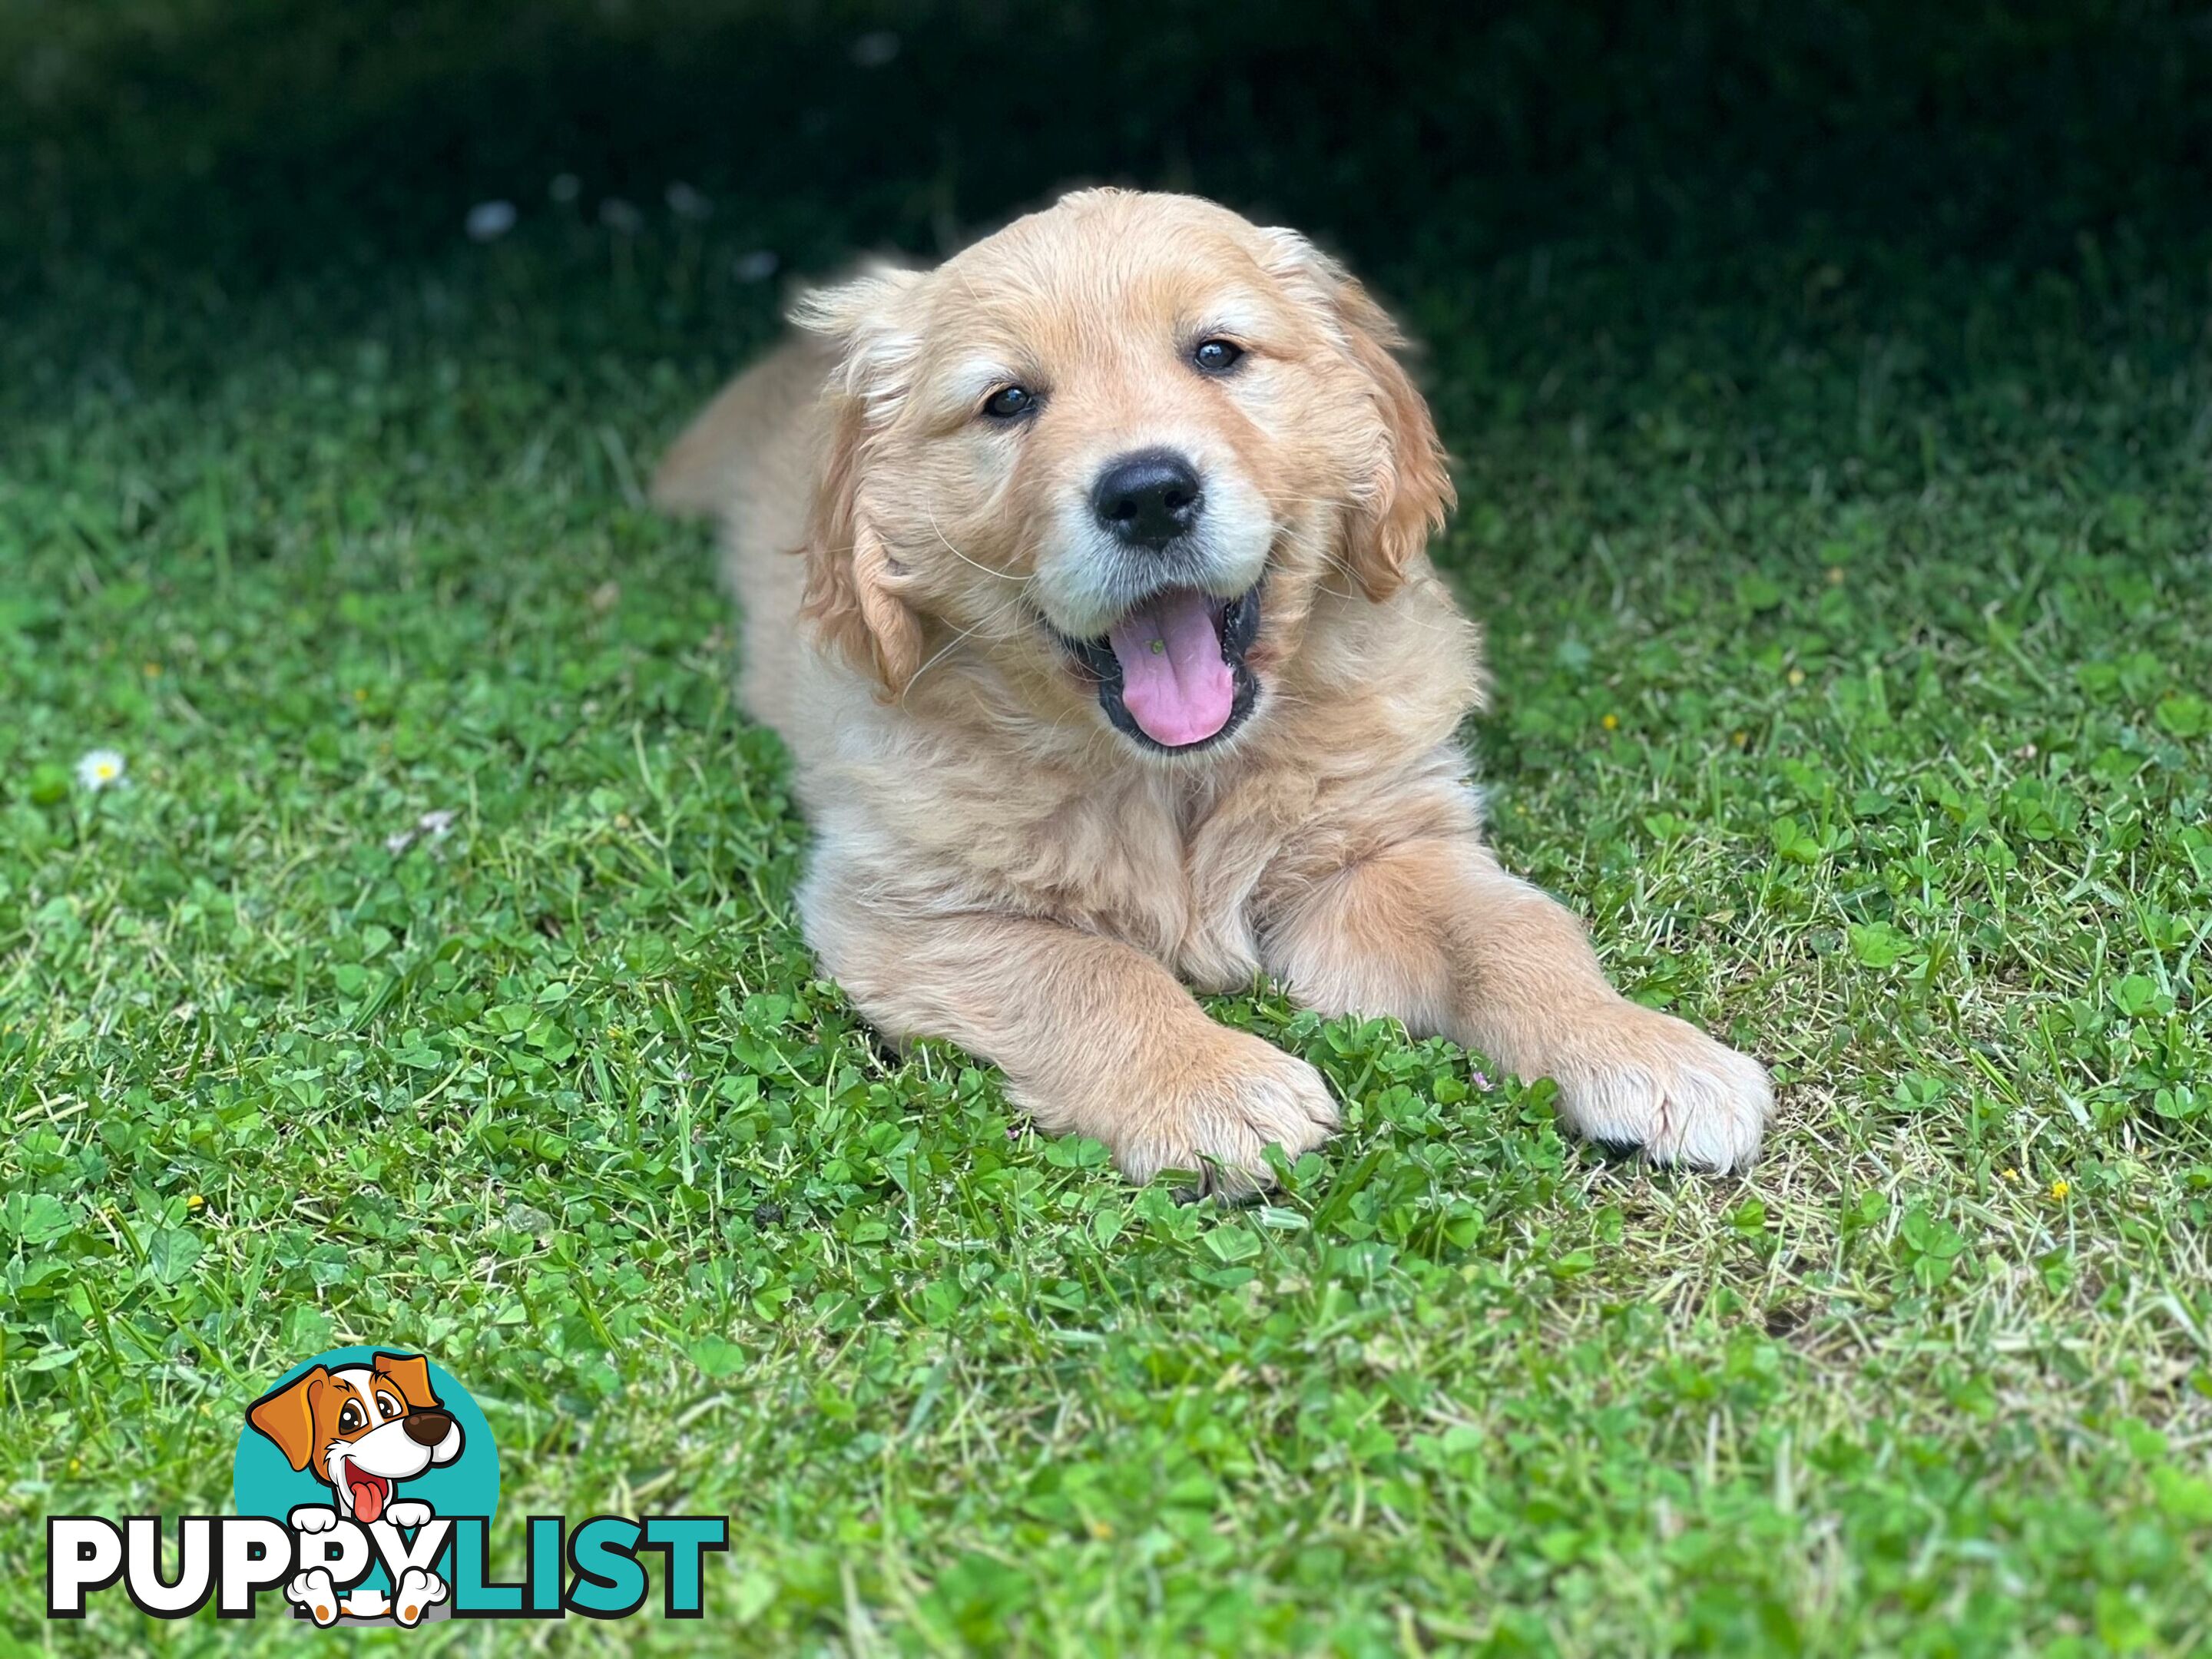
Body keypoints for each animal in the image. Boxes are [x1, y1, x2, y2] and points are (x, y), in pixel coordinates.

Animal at [645, 187, 1770, 1185]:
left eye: (1217, 353)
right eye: (1008, 401)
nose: (1148, 494)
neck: (1179, 777)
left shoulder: (1373, 847)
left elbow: (1511, 933)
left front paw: (1642, 1049)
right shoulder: (910, 909)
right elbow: (1092, 974)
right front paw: (1213, 1088)